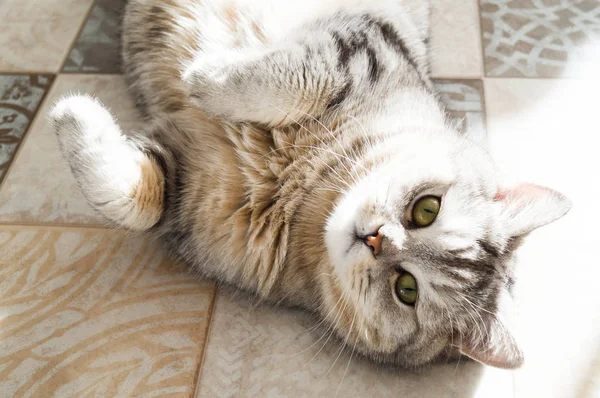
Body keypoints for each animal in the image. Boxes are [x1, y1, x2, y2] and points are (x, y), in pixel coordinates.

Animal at [49, 0, 568, 370]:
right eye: (426, 209)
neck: (301, 180)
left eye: (407, 290)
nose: (376, 238)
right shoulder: (362, 40)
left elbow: (134, 198)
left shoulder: (190, 187)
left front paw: (76, 117)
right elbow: (294, 79)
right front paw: (207, 77)